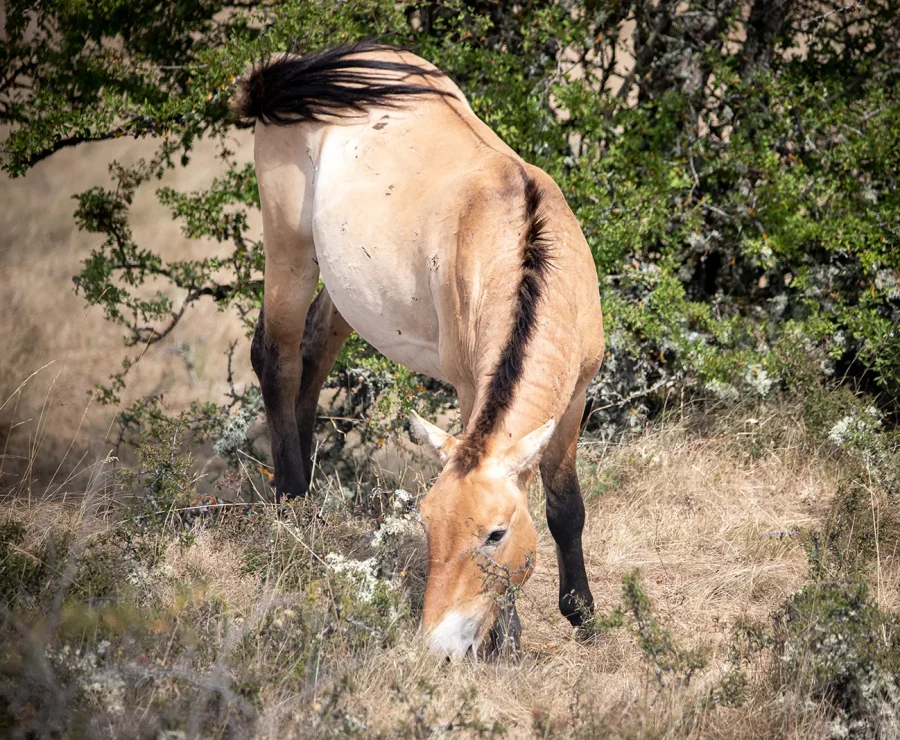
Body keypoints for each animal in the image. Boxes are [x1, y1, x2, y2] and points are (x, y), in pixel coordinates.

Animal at [237, 43, 604, 658]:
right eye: (428, 524)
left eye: (494, 534)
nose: (439, 646)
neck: (528, 251)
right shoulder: (470, 388)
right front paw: (509, 639)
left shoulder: (574, 399)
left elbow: (566, 509)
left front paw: (583, 616)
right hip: (289, 249)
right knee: (276, 358)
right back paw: (290, 501)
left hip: (344, 290)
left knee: (311, 359)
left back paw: (306, 493)